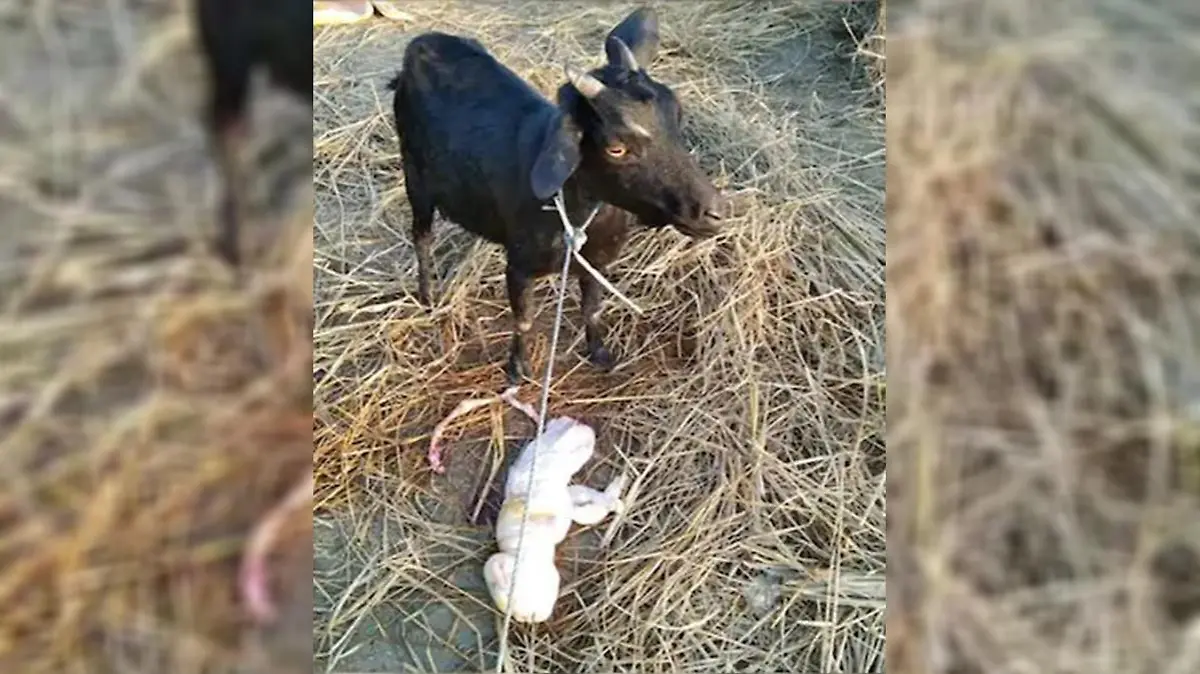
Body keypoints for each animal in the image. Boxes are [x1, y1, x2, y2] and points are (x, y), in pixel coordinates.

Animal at [388, 7, 722, 384]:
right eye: (617, 147)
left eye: (677, 118)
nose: (713, 211)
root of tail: (422, 41)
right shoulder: (519, 264)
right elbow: (523, 319)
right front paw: (517, 370)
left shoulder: (597, 261)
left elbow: (592, 308)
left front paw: (599, 353)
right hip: (414, 176)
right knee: (422, 236)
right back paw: (428, 296)